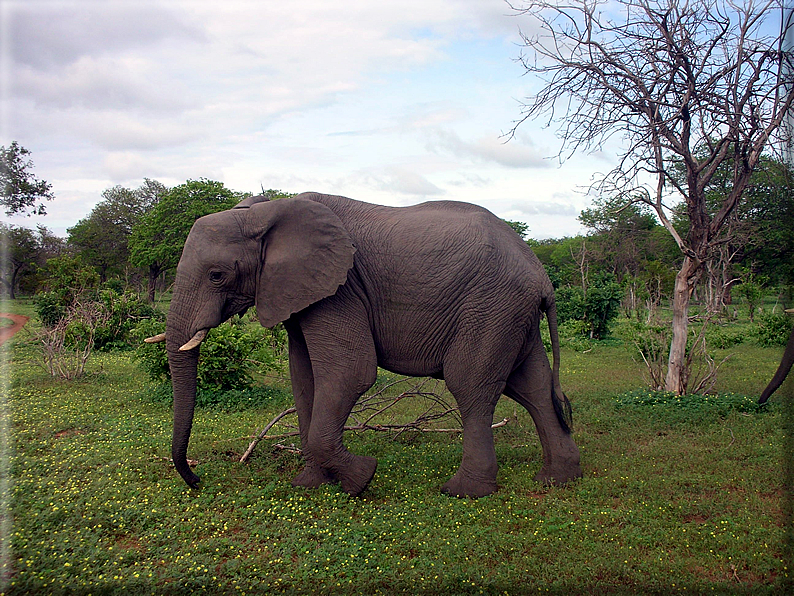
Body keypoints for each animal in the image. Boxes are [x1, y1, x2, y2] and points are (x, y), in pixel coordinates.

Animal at [147, 192, 580, 498]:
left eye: (217, 275)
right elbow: (303, 380)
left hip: (491, 306)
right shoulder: (302, 294)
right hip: (512, 313)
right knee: (532, 387)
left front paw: (361, 478)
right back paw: (557, 480)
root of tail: (541, 274)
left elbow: (349, 372)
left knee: (471, 385)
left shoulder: (340, 289)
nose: (197, 479)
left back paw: (463, 492)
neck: (267, 213)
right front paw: (310, 484)